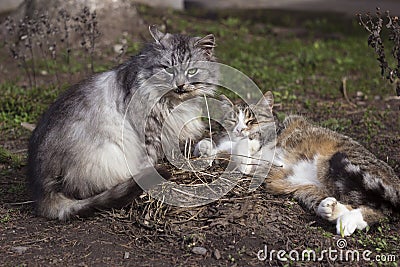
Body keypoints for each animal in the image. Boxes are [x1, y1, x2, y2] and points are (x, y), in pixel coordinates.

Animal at [27, 26, 219, 221]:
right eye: (168, 70)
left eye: (192, 71)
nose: (180, 85)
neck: (175, 103)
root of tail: (41, 190)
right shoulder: (149, 135)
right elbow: (148, 160)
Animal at [198, 91, 400, 237]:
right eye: (233, 119)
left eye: (251, 120)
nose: (240, 129)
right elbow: (222, 151)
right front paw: (206, 149)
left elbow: (250, 143)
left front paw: (247, 141)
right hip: (307, 189)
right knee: (372, 210)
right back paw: (336, 214)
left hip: (351, 163)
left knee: (383, 211)